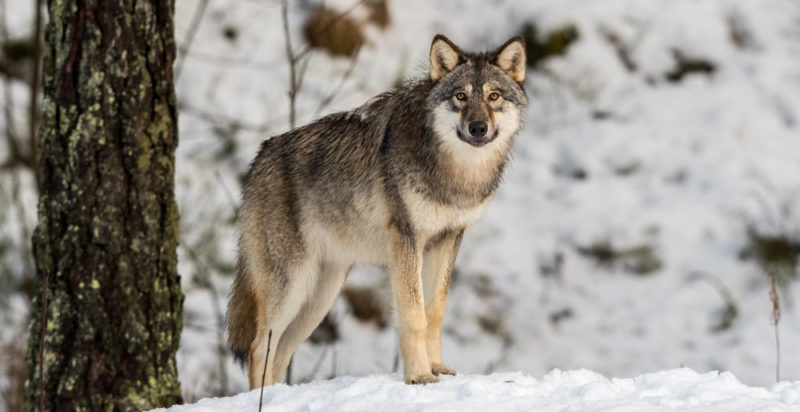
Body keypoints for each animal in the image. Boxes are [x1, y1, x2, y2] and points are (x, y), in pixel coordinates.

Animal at [227, 33, 524, 386]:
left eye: (494, 96)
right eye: (460, 96)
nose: (478, 127)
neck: (456, 175)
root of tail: (259, 156)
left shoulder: (448, 238)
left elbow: (435, 310)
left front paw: (438, 368)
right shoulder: (406, 240)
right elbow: (413, 314)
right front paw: (420, 376)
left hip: (320, 297)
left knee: (281, 352)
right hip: (292, 285)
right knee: (259, 348)